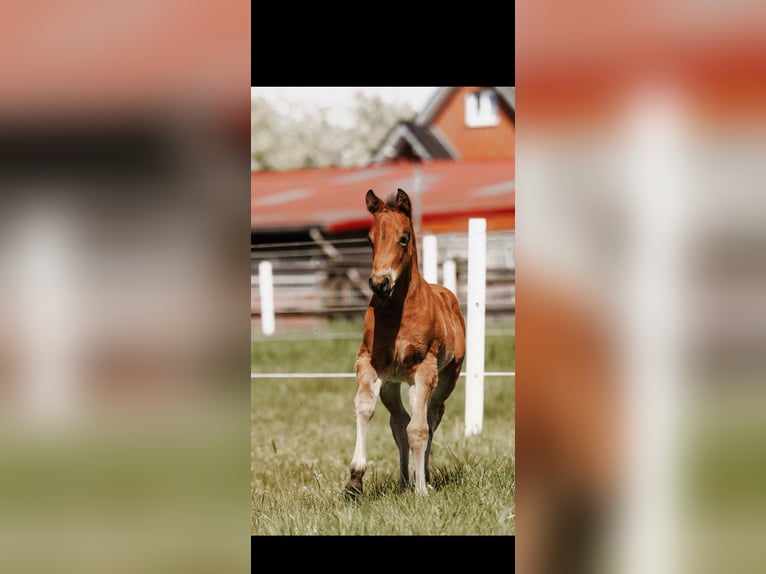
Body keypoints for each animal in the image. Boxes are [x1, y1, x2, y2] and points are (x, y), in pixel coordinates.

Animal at [344, 188, 466, 498]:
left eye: (404, 237)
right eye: (369, 239)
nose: (380, 283)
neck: (398, 310)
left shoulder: (424, 369)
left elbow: (419, 429)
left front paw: (421, 490)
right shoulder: (369, 363)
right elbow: (366, 408)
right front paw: (355, 479)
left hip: (445, 378)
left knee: (432, 417)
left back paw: (424, 478)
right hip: (392, 382)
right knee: (398, 421)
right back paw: (403, 481)